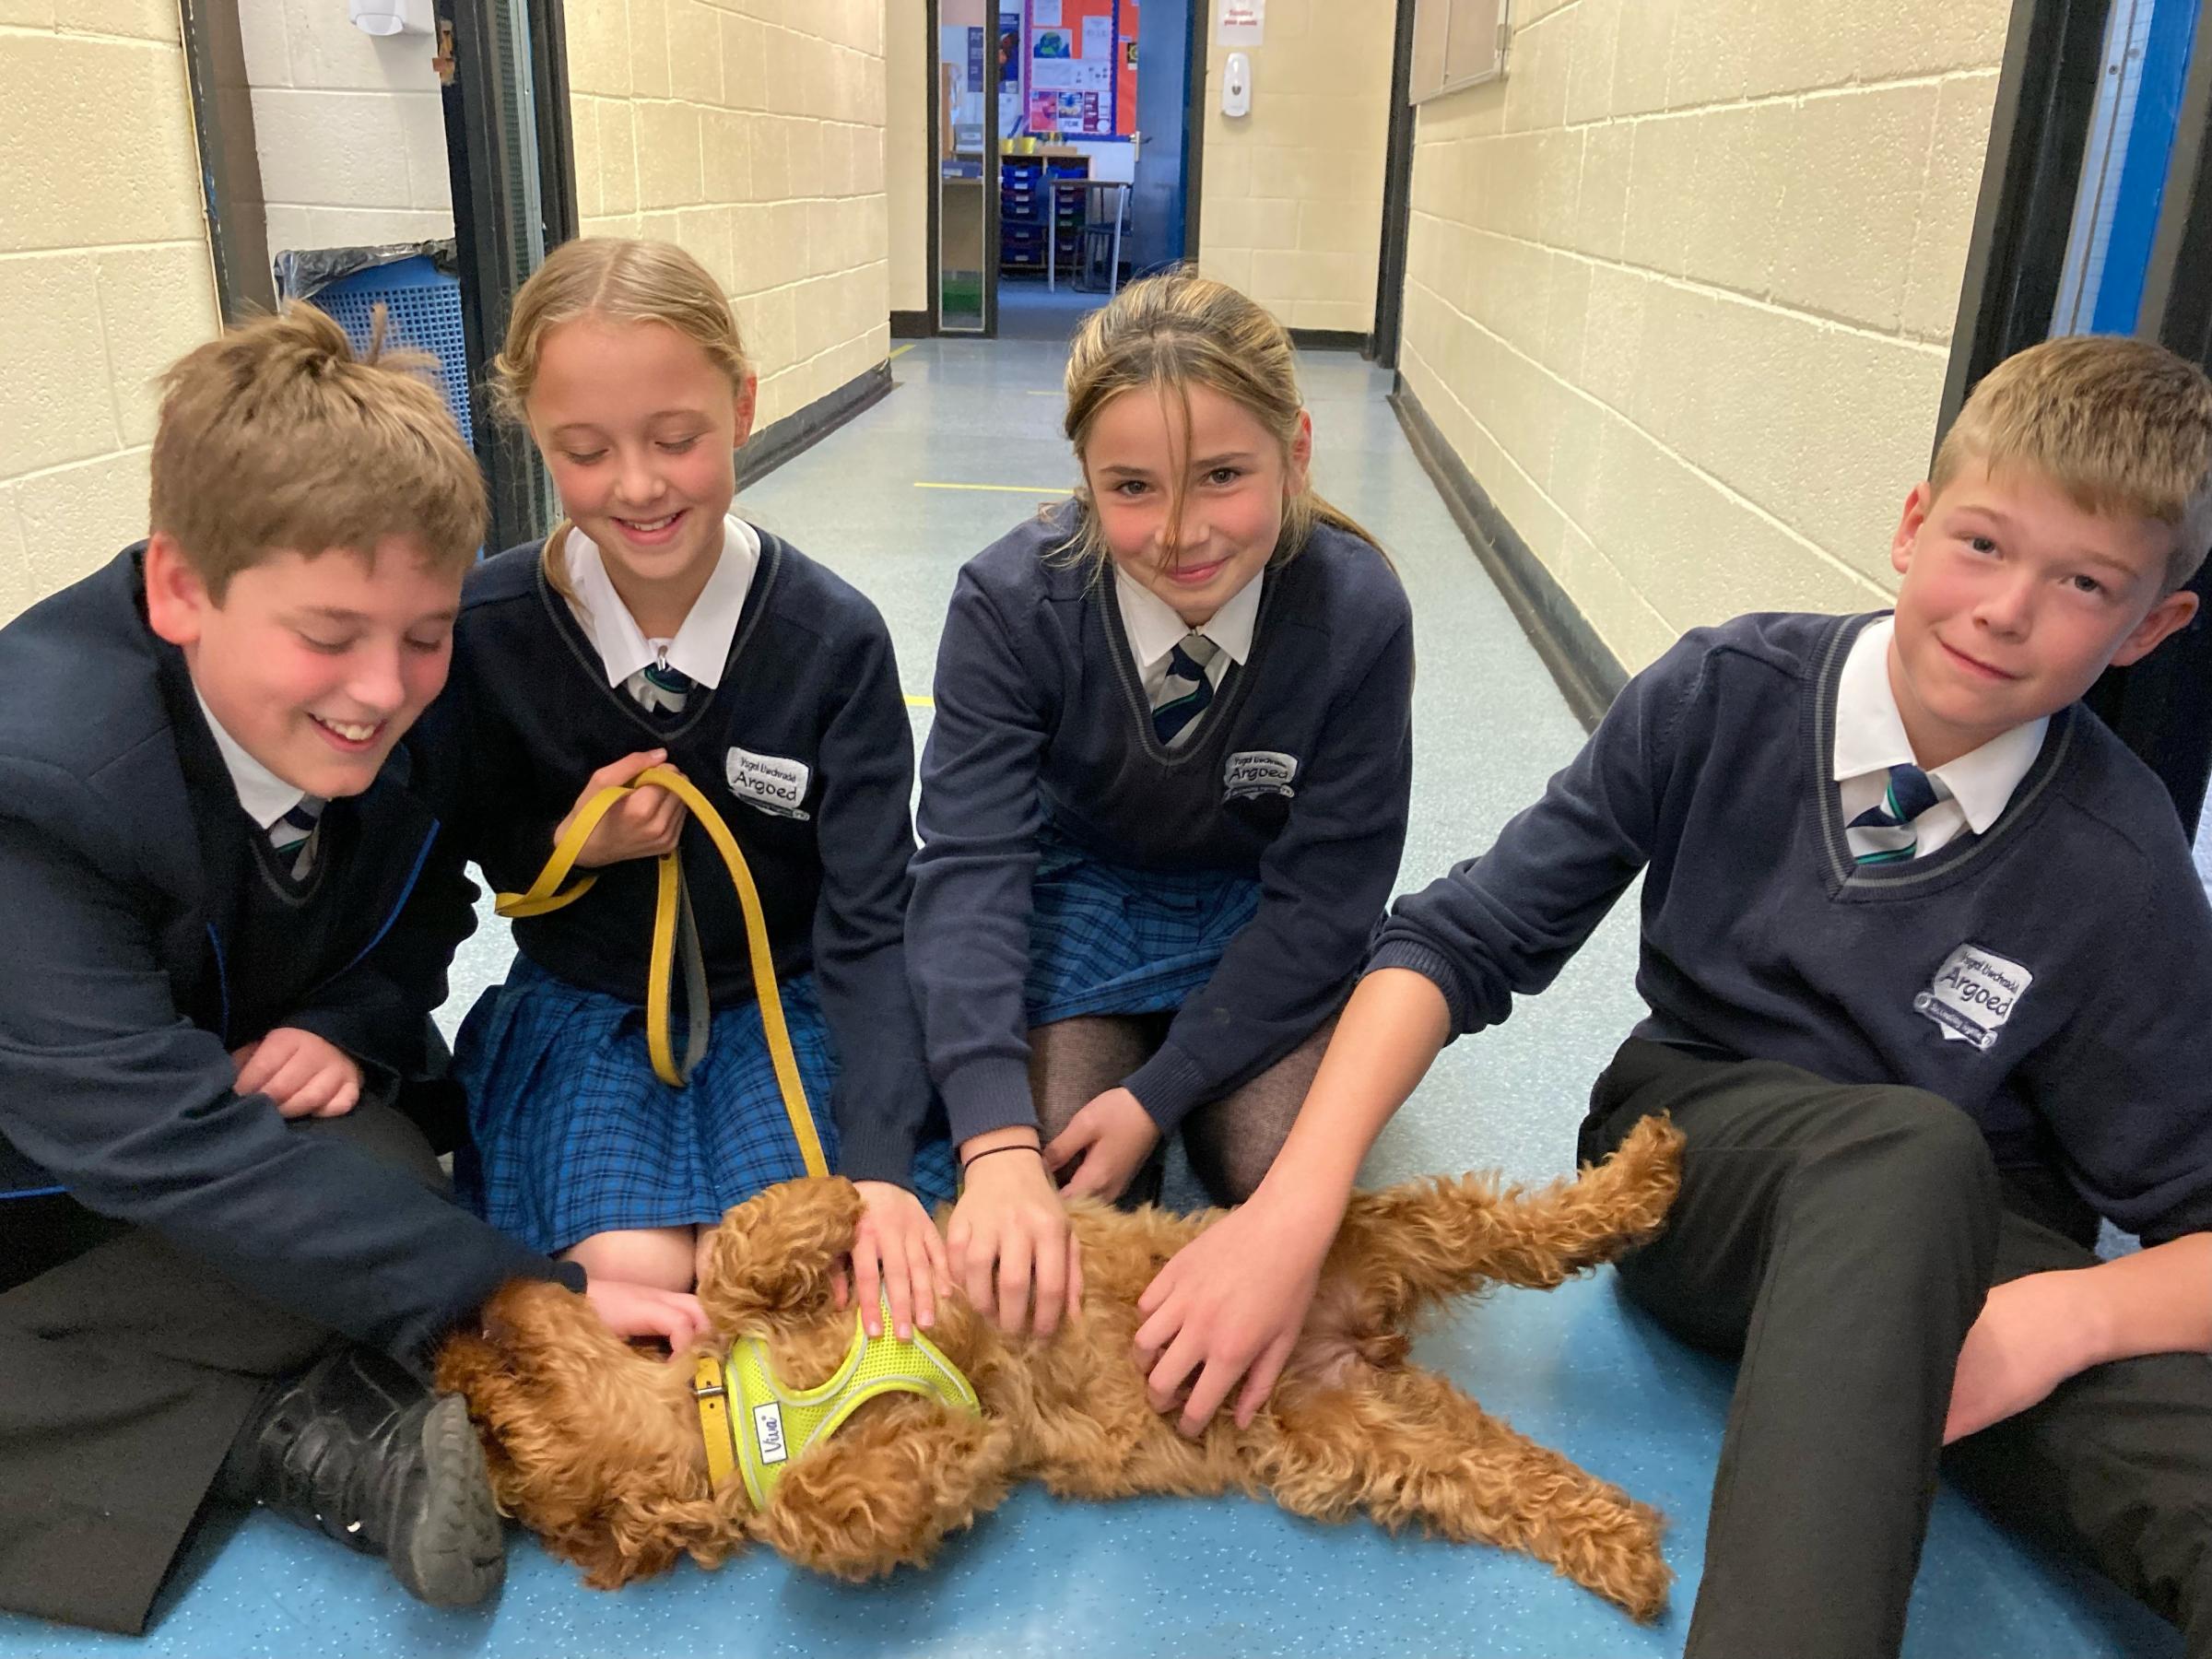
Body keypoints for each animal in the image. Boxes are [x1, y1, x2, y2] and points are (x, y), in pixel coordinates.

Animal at [427, 1119, 1672, 1628]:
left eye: (500, 1399)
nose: (457, 1326)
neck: (750, 1414)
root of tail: (1355, 1337)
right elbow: (819, 1513)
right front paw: (913, 1457)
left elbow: (742, 1252)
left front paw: (838, 1201)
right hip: (1367, 1439)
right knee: (1511, 1478)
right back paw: (1633, 1551)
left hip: (1363, 1234)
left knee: (1519, 1230)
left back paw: (1646, 1172)